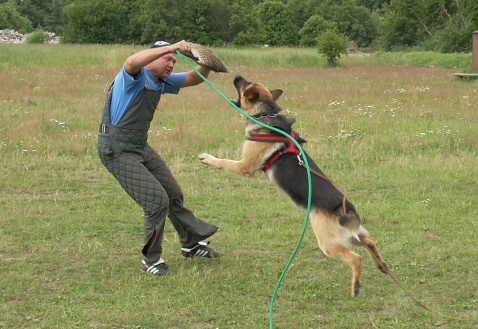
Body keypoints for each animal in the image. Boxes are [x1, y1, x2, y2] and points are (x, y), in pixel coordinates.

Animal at [199, 76, 388, 294]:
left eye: (244, 85)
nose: (236, 76)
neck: (266, 114)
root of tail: (345, 207)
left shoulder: (244, 166)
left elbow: (223, 162)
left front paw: (208, 158)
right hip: (352, 236)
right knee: (370, 242)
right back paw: (382, 265)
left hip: (328, 243)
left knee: (357, 258)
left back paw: (356, 286)